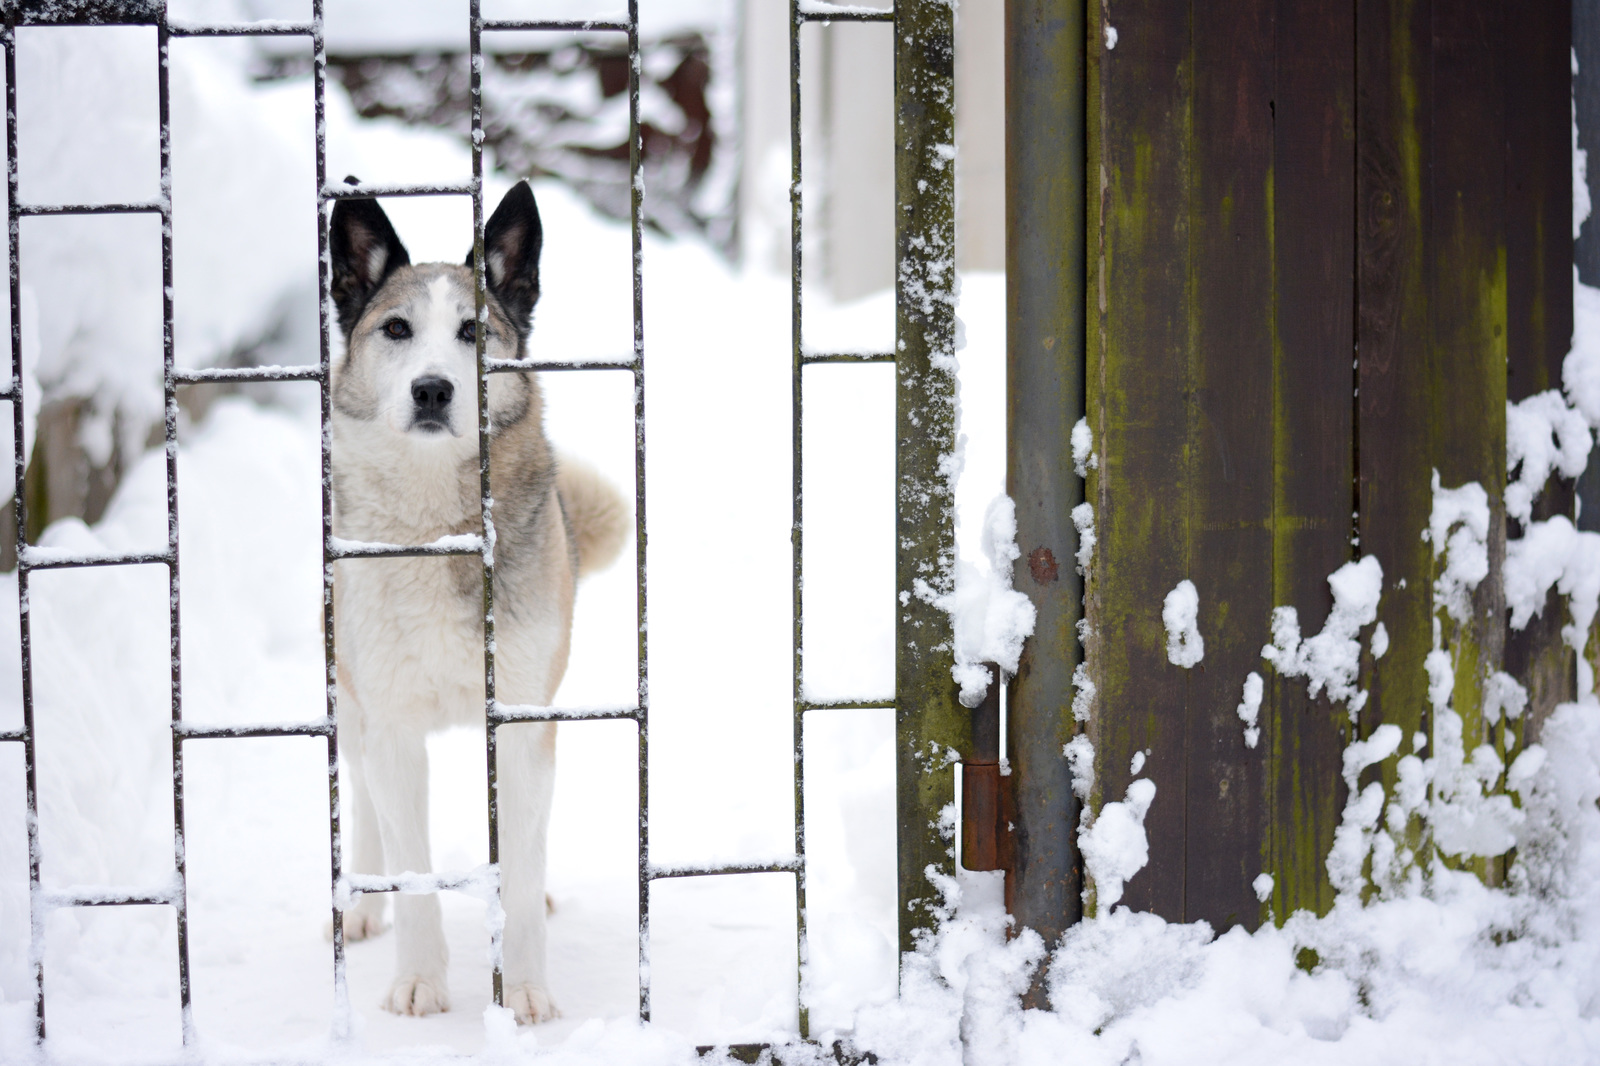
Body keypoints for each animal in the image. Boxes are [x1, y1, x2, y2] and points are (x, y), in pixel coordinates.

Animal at [324, 180, 624, 1024]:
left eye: (473, 332)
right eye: (396, 329)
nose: (434, 388)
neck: (440, 528)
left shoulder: (522, 724)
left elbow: (518, 871)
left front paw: (522, 990)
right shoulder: (392, 725)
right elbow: (414, 872)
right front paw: (419, 982)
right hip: (350, 699)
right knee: (365, 802)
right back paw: (364, 902)